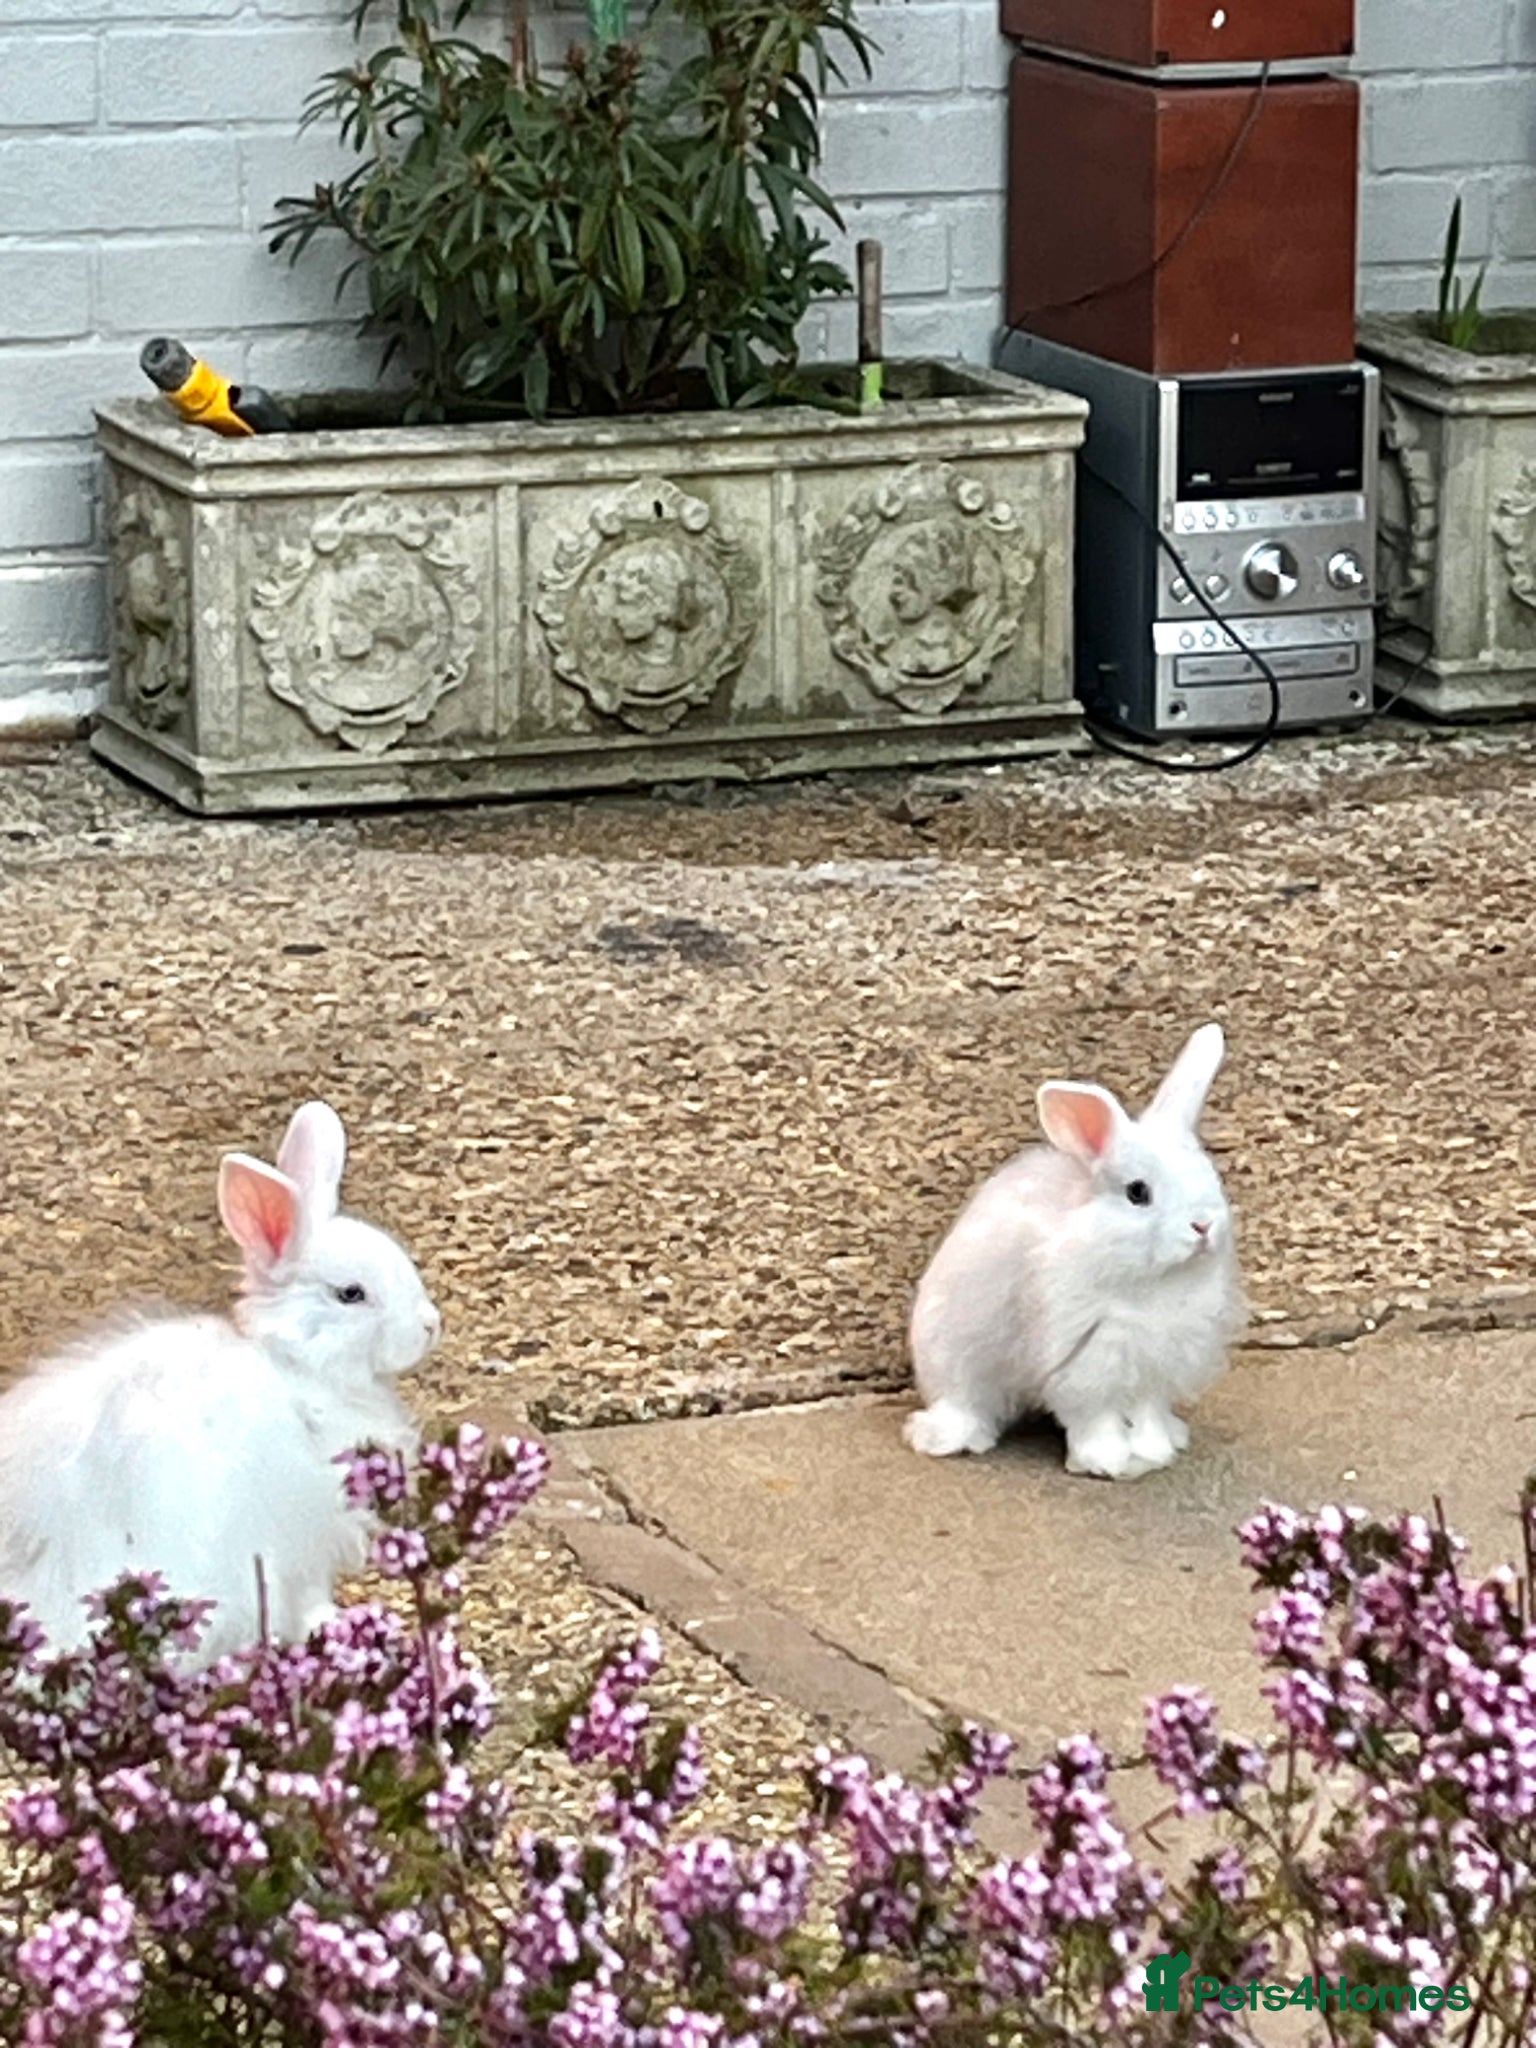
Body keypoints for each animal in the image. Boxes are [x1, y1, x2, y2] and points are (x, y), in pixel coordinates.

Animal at [0, 1100, 441, 1662]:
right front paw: (330, 1625)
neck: (298, 1372)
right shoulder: (300, 1542)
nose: (430, 1326)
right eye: (351, 1294)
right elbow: (307, 1598)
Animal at [903, 1022, 1244, 1481]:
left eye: (1209, 1173)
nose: (1203, 1226)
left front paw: (1154, 1452)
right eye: (1138, 1192)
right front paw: (1107, 1461)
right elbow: (1096, 1419)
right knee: (964, 1401)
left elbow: (1147, 1415)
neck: (1149, 1282)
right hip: (953, 1356)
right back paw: (950, 1437)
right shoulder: (1085, 1361)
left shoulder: (1154, 1368)